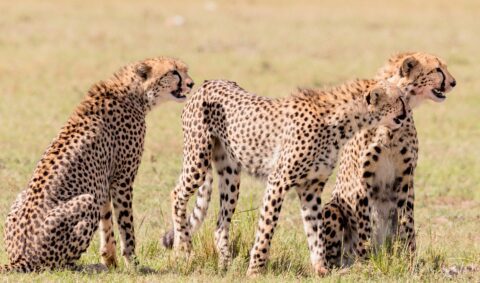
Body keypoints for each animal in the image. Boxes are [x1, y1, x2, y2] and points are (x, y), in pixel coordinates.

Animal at [2, 56, 193, 272]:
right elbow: (126, 226)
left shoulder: (103, 182)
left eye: (185, 70)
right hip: (85, 202)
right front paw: (133, 264)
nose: (191, 83)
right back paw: (85, 266)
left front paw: (110, 261)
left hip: (22, 195)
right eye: (173, 72)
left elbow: (107, 221)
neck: (134, 93)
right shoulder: (122, 180)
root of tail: (20, 257)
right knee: (55, 265)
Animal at [167, 78, 406, 278]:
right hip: (198, 159)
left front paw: (320, 268)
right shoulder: (278, 181)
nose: (406, 113)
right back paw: (183, 247)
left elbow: (315, 231)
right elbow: (266, 230)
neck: (343, 123)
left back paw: (225, 261)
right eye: (399, 99)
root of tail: (207, 83)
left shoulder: (311, 188)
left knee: (219, 224)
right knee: (177, 194)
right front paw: (255, 271)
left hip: (230, 176)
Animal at [320, 52, 456, 268]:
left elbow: (406, 221)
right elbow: (365, 224)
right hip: (331, 208)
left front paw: (408, 259)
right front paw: (366, 261)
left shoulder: (405, 177)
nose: (453, 82)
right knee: (336, 254)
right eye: (437, 69)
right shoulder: (363, 180)